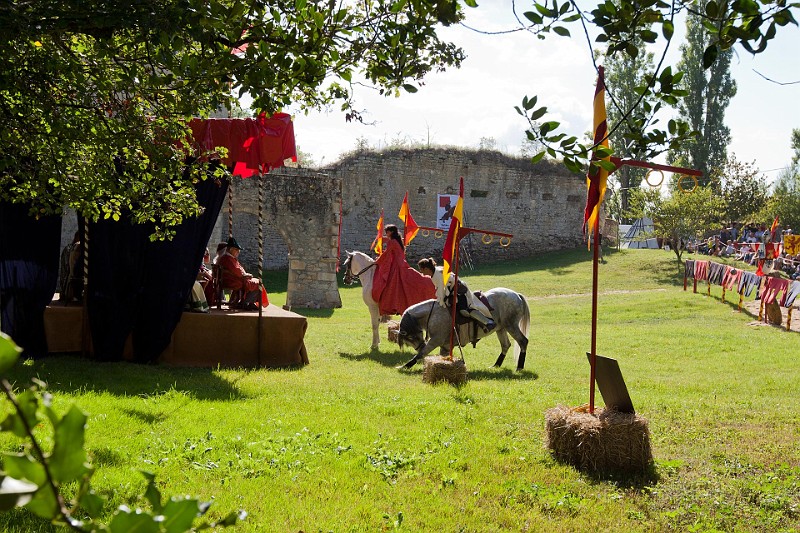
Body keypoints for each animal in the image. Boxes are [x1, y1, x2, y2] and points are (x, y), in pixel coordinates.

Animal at [396, 286, 532, 370]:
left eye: (410, 337)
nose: (419, 346)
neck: (433, 313)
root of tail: (516, 295)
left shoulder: (435, 340)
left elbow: (422, 354)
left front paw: (404, 366)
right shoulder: (445, 346)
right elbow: (441, 357)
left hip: (511, 326)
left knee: (523, 341)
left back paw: (519, 367)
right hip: (501, 328)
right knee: (505, 345)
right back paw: (496, 365)